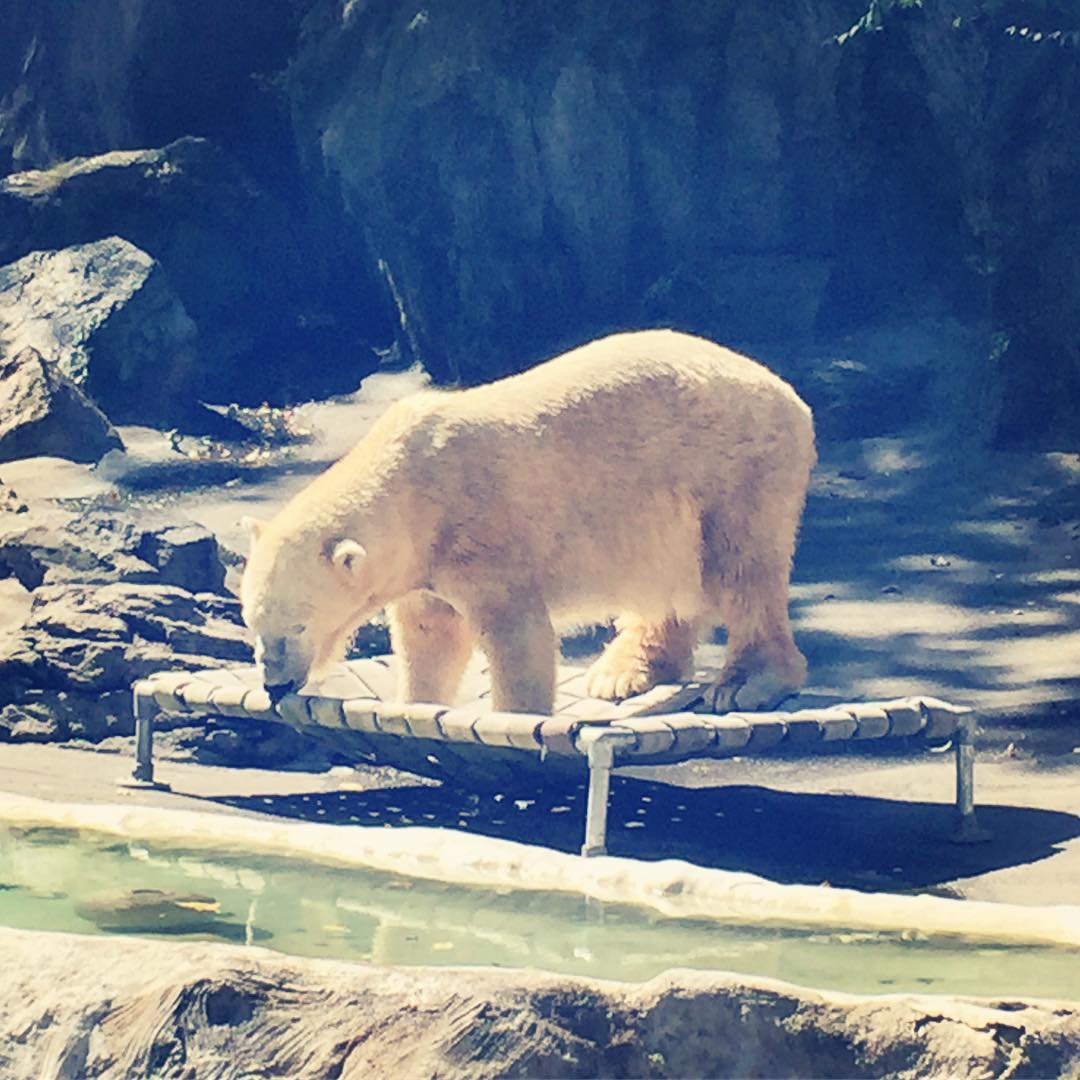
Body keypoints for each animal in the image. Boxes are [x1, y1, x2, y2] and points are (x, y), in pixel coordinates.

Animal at [240, 329, 815, 715]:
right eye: (253, 623)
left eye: (298, 625)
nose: (275, 685)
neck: (412, 479)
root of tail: (788, 393)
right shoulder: (422, 566)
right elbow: (429, 635)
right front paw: (417, 700)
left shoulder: (482, 533)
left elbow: (516, 636)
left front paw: (515, 717)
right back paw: (621, 674)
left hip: (733, 469)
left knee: (741, 570)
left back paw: (745, 683)